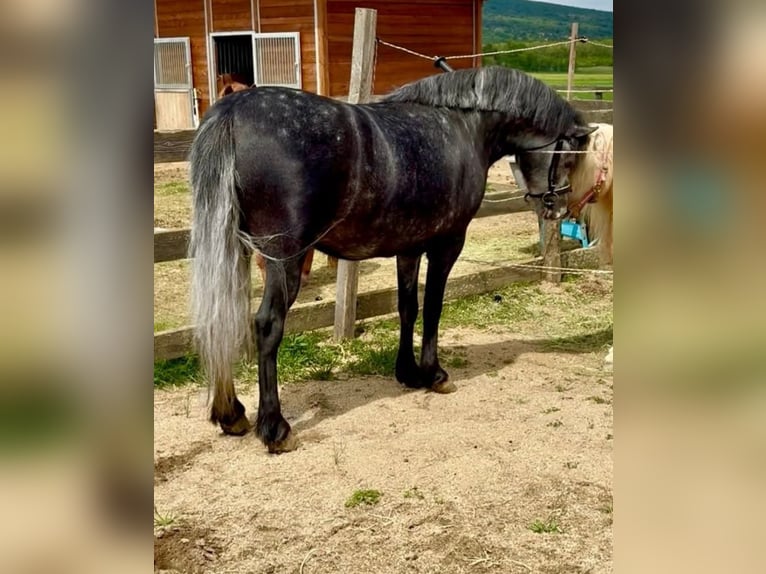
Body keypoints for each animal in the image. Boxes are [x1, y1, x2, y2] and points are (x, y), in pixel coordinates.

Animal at [189, 66, 596, 452]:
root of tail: (232, 110)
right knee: (267, 324)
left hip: (237, 250)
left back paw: (231, 413)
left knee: (222, 317)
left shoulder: (409, 247)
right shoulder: (448, 243)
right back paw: (275, 428)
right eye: (569, 157)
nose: (560, 209)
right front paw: (434, 374)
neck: (465, 126)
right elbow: (433, 307)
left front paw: (408, 372)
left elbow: (408, 307)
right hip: (283, 258)